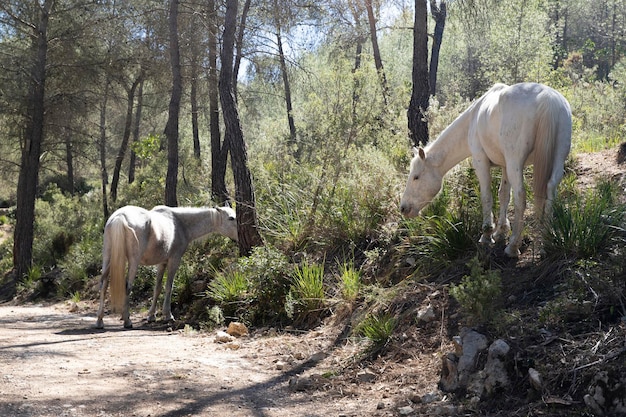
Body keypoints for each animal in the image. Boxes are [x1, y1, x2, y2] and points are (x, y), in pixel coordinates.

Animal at [96, 205, 238, 328]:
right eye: (231, 218)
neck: (180, 224)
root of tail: (120, 217)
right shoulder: (174, 260)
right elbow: (169, 286)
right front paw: (168, 315)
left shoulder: (162, 263)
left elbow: (157, 288)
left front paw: (151, 316)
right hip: (133, 262)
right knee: (127, 286)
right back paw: (127, 320)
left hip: (107, 258)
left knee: (104, 285)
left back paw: (100, 321)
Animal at [400, 82, 572, 256]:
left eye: (416, 177)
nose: (403, 208)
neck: (472, 120)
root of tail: (547, 98)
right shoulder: (505, 166)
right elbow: (503, 195)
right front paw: (501, 231)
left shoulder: (480, 161)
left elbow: (487, 196)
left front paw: (487, 234)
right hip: (555, 159)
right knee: (550, 190)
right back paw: (546, 240)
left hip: (515, 162)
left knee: (520, 197)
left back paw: (513, 246)